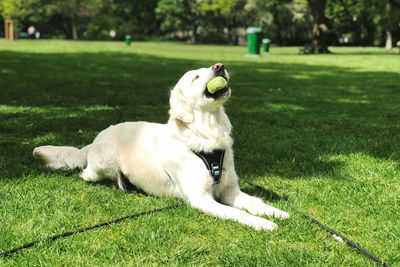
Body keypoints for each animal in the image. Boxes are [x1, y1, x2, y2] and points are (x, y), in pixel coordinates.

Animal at [32, 63, 290, 231]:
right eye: (195, 77)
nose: (219, 66)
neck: (208, 135)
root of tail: (95, 139)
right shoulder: (201, 198)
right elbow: (236, 212)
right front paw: (263, 223)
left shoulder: (229, 189)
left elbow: (254, 202)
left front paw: (275, 212)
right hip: (105, 161)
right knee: (88, 173)